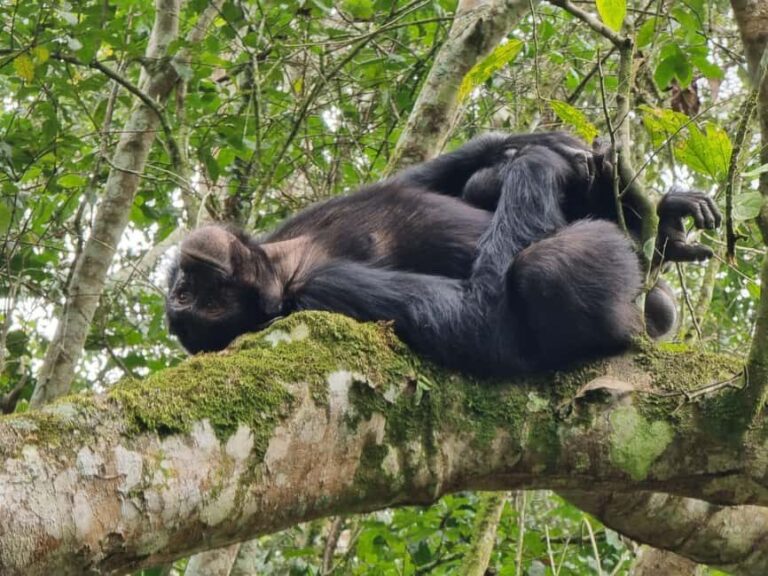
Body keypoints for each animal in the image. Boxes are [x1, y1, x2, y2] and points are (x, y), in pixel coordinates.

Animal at [166, 132, 720, 375]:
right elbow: (483, 319)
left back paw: (662, 220)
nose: (181, 284)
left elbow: (420, 178)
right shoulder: (328, 293)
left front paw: (544, 141)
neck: (286, 262)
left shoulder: (300, 219)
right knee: (548, 269)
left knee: (482, 182)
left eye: (187, 292)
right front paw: (543, 157)